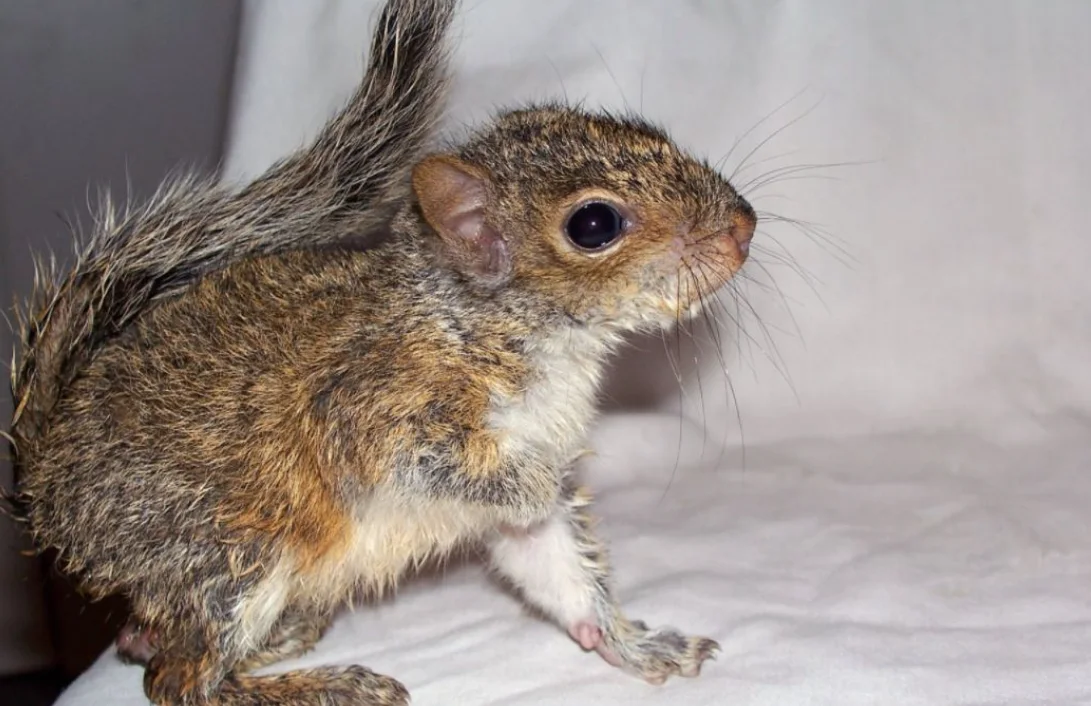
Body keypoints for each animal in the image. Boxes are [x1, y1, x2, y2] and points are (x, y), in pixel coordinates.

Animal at [5, 0, 757, 704]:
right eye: (593, 224)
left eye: (648, 131)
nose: (742, 226)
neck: (481, 324)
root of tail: (49, 485)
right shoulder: (368, 409)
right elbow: (443, 469)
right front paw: (535, 481)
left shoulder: (524, 496)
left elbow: (560, 572)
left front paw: (635, 646)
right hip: (226, 551)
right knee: (181, 682)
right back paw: (324, 685)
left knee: (150, 644)